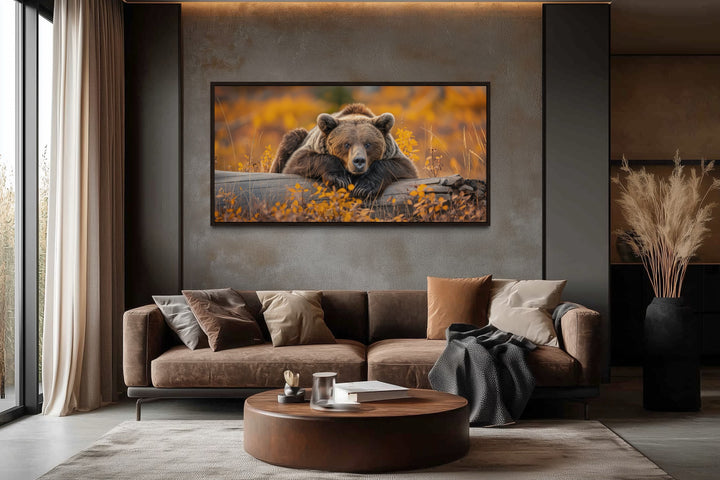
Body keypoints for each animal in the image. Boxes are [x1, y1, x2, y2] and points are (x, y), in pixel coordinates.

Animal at [269, 103, 418, 199]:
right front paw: (340, 179)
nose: (359, 161)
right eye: (346, 144)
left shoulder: (394, 154)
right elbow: (297, 162)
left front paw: (364, 187)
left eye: (368, 144)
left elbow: (403, 167)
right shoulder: (310, 147)